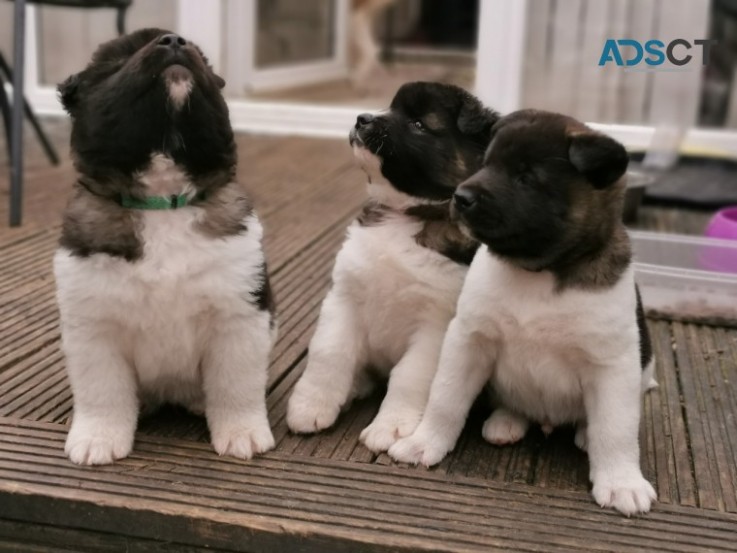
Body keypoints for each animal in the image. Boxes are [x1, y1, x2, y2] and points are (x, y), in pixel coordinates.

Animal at [53, 28, 274, 464]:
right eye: (116, 61)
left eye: (202, 57)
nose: (173, 41)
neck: (162, 201)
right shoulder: (94, 328)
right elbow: (102, 391)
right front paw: (98, 438)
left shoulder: (239, 319)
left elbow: (236, 386)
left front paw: (242, 433)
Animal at [284, 83, 498, 452]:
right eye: (392, 107)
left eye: (419, 124)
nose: (362, 119)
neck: (406, 214)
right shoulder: (345, 297)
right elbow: (329, 352)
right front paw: (310, 406)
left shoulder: (434, 328)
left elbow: (408, 376)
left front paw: (392, 426)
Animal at [388, 110, 660, 516]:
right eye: (486, 165)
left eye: (526, 178)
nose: (460, 197)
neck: (537, 272)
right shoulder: (469, 342)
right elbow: (445, 399)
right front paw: (425, 442)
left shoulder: (612, 364)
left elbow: (616, 428)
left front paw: (621, 481)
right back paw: (506, 420)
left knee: (599, 419)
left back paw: (584, 433)